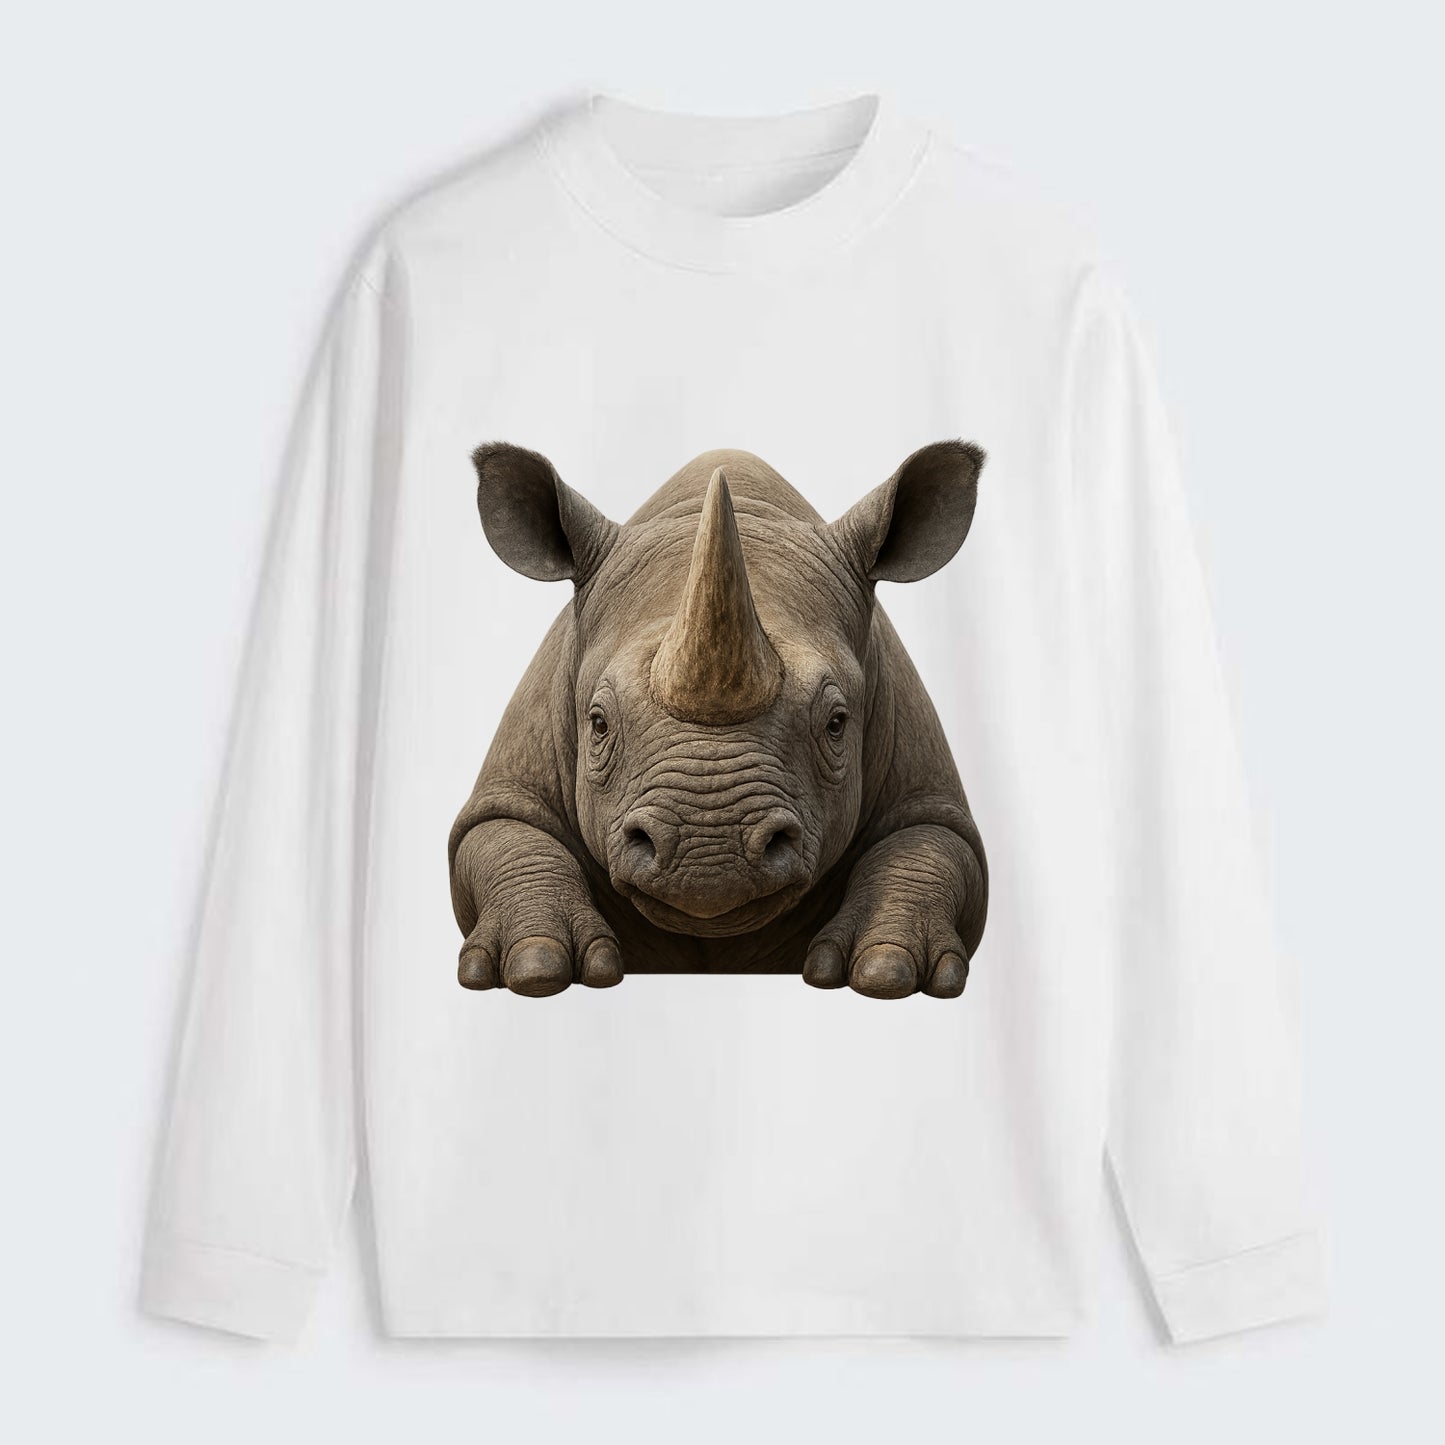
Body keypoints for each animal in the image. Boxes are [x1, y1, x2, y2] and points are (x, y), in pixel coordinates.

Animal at [448, 441, 988, 1000]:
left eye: (837, 723)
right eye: (598, 724)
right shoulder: (513, 781)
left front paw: (887, 971)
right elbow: (505, 833)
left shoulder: (924, 784)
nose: (709, 855)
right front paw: (535, 967)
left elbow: (929, 844)